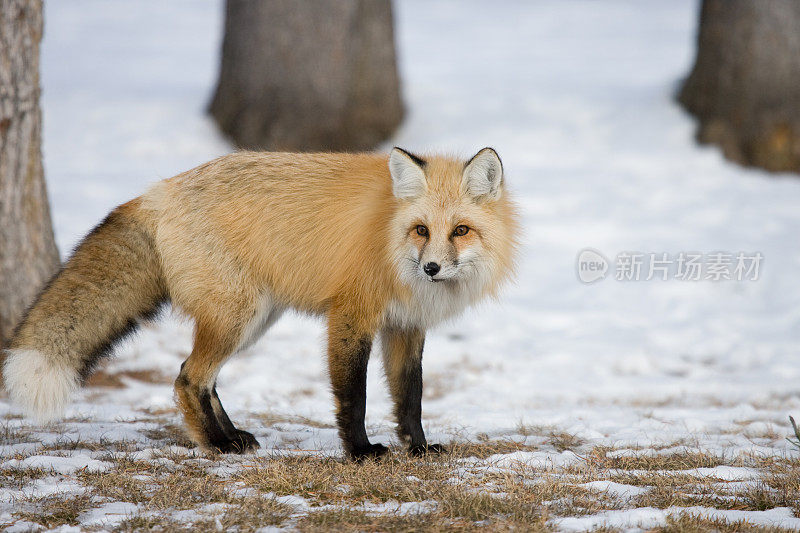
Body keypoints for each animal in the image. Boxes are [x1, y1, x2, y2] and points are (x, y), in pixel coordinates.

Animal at [3, 148, 520, 460]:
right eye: (421, 230)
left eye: (460, 230)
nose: (431, 268)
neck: (389, 239)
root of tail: (158, 191)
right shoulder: (351, 317)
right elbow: (353, 397)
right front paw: (359, 453)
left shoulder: (406, 326)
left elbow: (410, 398)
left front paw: (418, 448)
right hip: (237, 316)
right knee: (188, 378)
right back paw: (216, 444)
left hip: (253, 320)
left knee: (204, 379)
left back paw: (232, 435)